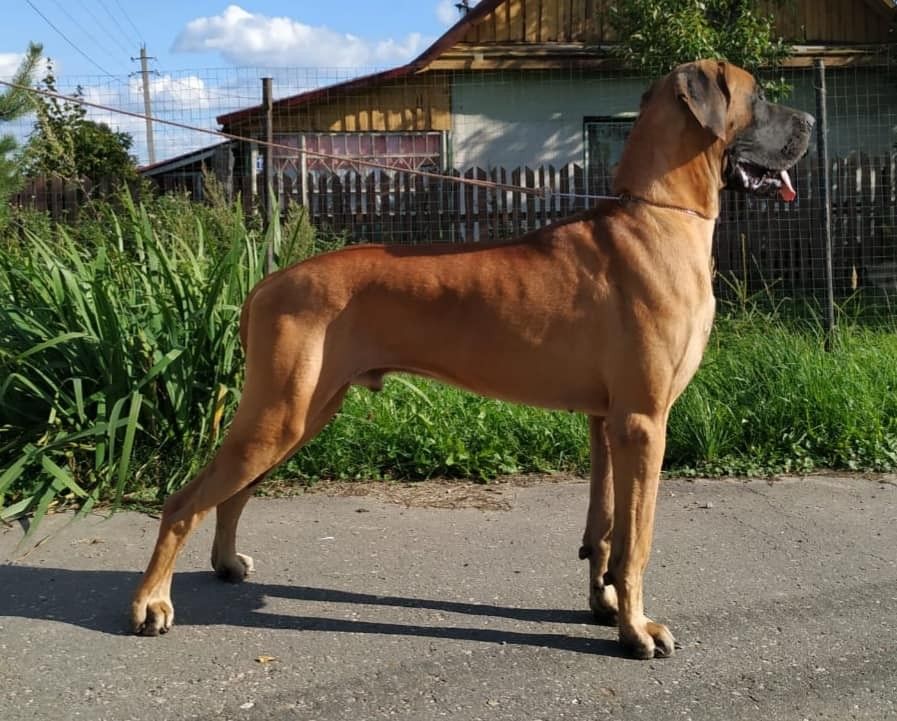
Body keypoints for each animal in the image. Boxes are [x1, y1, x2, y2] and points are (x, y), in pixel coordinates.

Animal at [131, 60, 813, 659]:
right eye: (760, 94)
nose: (809, 119)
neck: (658, 214)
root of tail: (267, 282)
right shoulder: (644, 422)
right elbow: (637, 539)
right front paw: (637, 629)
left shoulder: (607, 422)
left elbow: (605, 529)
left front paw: (606, 605)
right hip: (281, 414)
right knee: (182, 501)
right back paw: (152, 603)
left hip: (302, 411)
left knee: (232, 494)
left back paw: (224, 563)